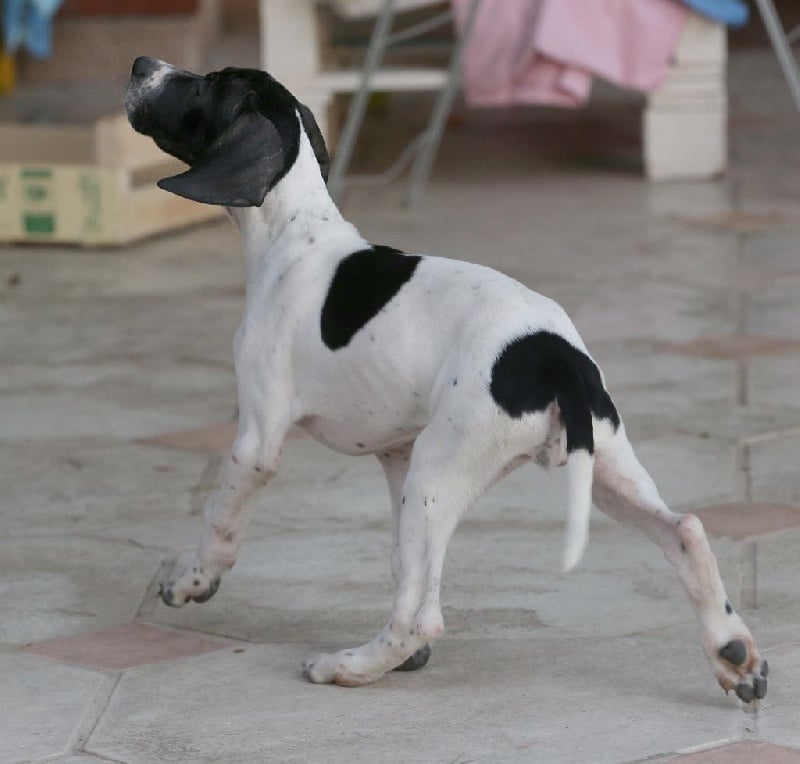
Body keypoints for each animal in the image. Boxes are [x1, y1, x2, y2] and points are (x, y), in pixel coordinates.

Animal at [125, 56, 767, 700]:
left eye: (207, 83)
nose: (141, 65)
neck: (295, 231)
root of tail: (555, 354)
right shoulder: (396, 457)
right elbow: (402, 564)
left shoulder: (258, 441)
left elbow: (220, 519)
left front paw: (192, 581)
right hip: (595, 467)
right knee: (684, 531)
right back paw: (733, 652)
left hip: (441, 471)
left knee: (422, 616)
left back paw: (347, 666)